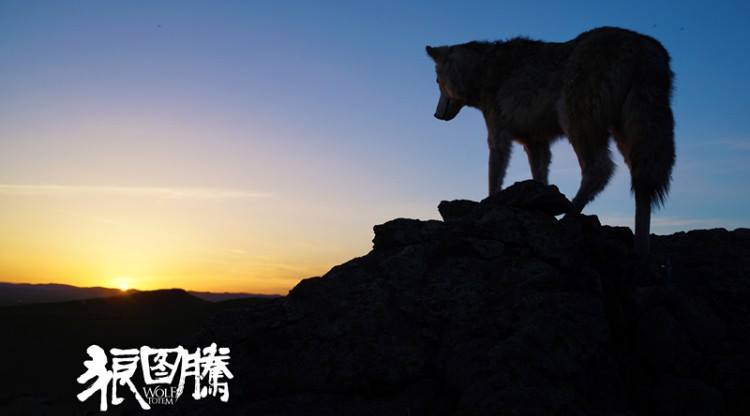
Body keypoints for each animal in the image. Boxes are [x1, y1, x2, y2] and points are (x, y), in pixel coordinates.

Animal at [426, 27, 675, 257]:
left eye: (437, 82)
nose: (435, 115)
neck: (482, 69)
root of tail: (644, 45)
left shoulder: (499, 135)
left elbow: (493, 177)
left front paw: (490, 202)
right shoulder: (535, 142)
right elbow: (540, 178)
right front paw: (541, 203)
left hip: (575, 123)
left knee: (599, 170)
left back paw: (568, 216)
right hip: (630, 138)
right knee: (641, 185)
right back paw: (641, 250)